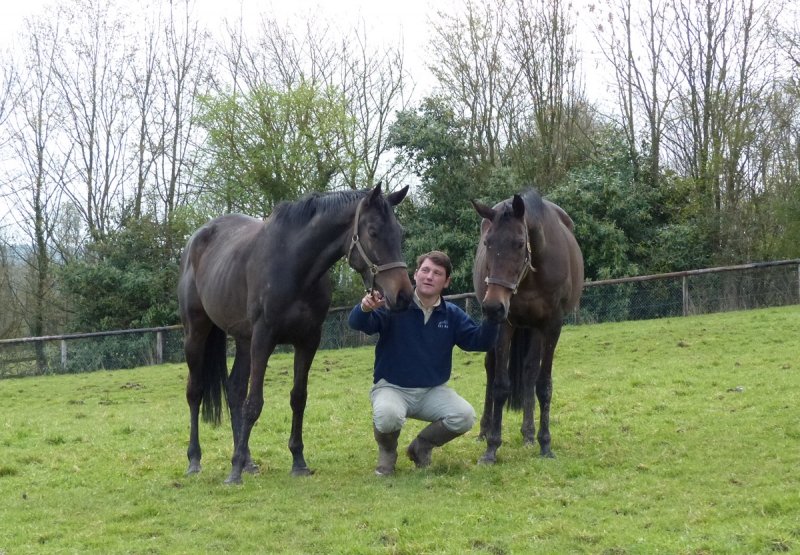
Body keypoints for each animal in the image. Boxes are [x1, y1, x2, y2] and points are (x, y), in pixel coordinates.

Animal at [178, 183, 413, 484]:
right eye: (372, 232)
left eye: (399, 232)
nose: (403, 295)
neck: (294, 264)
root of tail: (195, 241)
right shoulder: (263, 339)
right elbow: (254, 403)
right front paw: (234, 472)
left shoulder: (308, 340)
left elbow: (298, 398)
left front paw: (298, 461)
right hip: (196, 333)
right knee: (195, 392)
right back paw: (195, 459)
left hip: (243, 341)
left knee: (234, 390)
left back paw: (248, 460)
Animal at [471, 188, 583, 464]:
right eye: (488, 243)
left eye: (520, 243)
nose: (493, 306)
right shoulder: (505, 324)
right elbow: (500, 385)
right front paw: (491, 447)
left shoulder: (552, 325)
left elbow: (543, 385)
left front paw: (545, 443)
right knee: (491, 369)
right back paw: (484, 430)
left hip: (534, 329)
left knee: (530, 371)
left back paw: (529, 434)